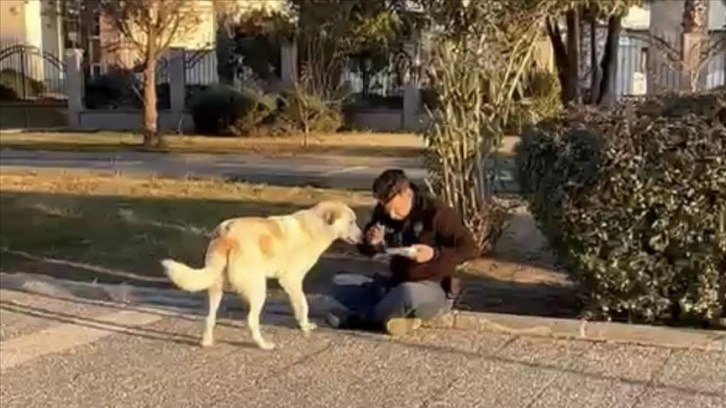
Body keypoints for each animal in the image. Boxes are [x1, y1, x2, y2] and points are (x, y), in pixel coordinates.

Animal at [161, 201, 362, 350]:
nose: (362, 238)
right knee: (251, 321)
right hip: (258, 289)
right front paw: (305, 326)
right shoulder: (292, 280)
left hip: (216, 287)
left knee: (210, 317)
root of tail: (226, 233)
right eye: (351, 222)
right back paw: (263, 344)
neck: (315, 226)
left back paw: (207, 342)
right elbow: (303, 305)